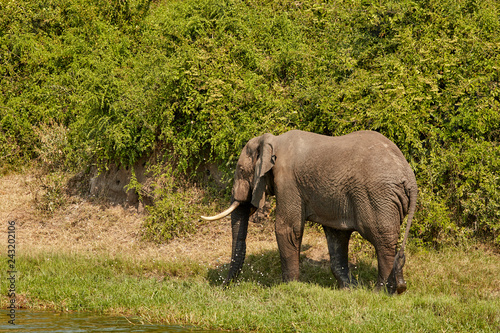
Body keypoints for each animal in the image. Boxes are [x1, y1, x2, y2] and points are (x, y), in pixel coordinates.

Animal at [203, 130, 418, 294]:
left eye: (240, 170)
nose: (222, 286)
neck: (273, 140)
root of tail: (409, 177)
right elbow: (337, 236)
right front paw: (350, 289)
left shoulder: (288, 181)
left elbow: (288, 229)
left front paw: (289, 287)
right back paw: (398, 288)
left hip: (377, 196)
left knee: (382, 240)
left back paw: (381, 292)